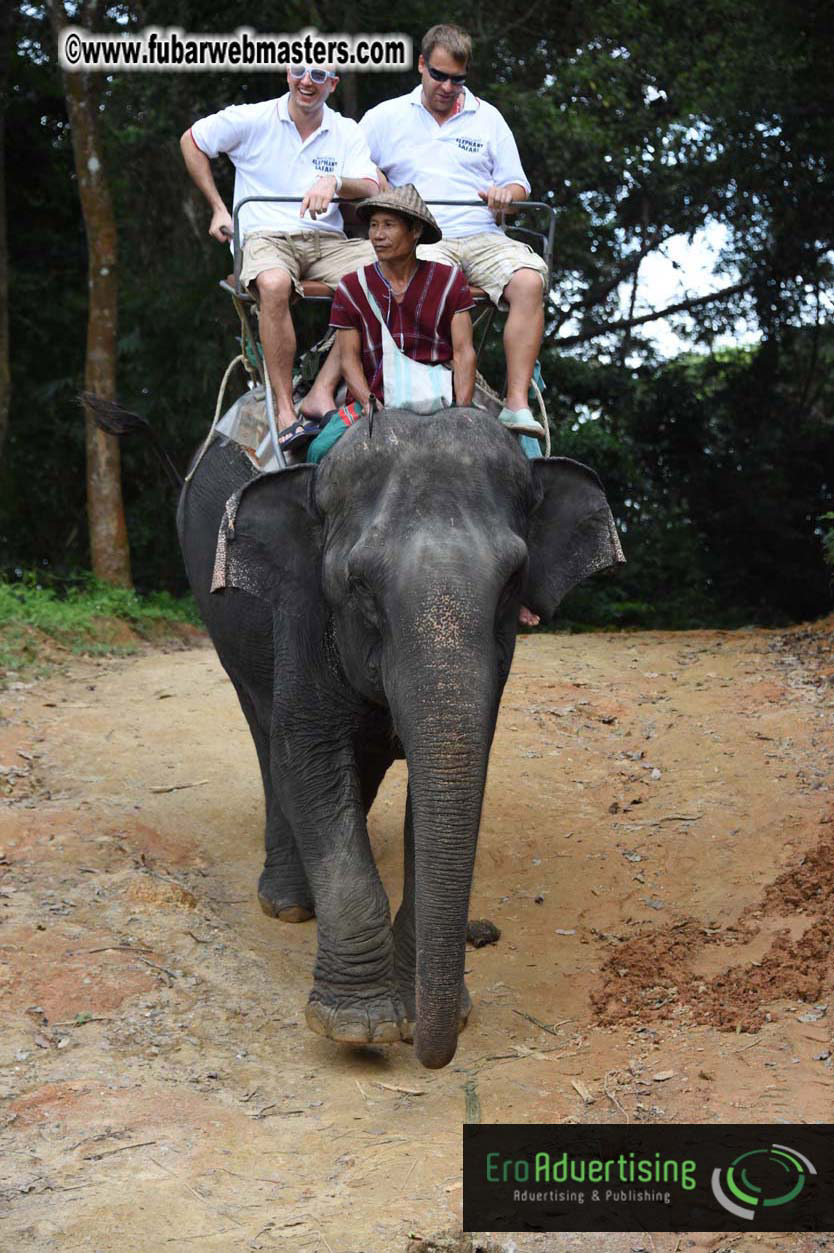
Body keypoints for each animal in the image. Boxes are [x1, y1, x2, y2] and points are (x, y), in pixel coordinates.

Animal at [91, 397, 624, 1069]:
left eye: (512, 582)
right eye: (360, 583)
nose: (432, 1054)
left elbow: (449, 770)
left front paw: (415, 1011)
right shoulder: (300, 607)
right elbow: (308, 755)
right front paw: (361, 1027)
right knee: (266, 735)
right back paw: (290, 904)